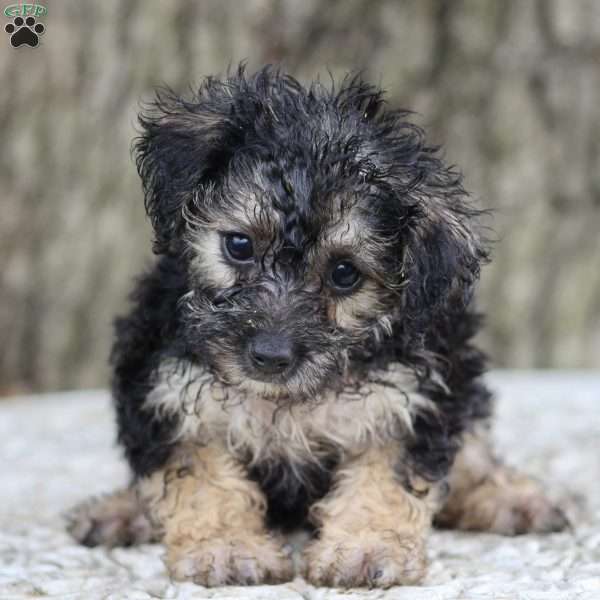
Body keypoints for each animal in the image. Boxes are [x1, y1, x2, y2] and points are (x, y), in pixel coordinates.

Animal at [65, 65, 568, 584]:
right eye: (239, 245)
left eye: (345, 273)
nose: (269, 356)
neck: (287, 400)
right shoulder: (165, 391)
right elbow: (200, 475)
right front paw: (225, 547)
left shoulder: (412, 400)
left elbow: (384, 478)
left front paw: (365, 547)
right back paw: (120, 512)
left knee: (473, 455)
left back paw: (508, 498)